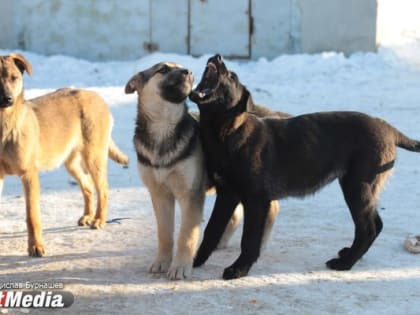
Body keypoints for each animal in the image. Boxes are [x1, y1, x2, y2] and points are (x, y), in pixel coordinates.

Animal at [0, 53, 128, 258]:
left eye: (14, 78)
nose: (8, 99)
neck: (4, 125)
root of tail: (96, 96)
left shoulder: (29, 175)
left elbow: (32, 216)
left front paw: (36, 247)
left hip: (94, 157)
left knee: (103, 188)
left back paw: (99, 219)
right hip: (71, 163)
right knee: (88, 185)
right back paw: (87, 216)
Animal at [189, 55, 420, 282]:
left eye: (232, 76)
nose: (217, 56)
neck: (226, 133)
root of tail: (388, 128)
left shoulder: (256, 200)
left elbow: (250, 239)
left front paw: (239, 269)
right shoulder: (227, 194)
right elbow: (211, 230)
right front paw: (194, 261)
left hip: (358, 185)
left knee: (368, 227)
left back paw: (344, 264)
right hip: (361, 187)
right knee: (375, 224)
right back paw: (348, 255)